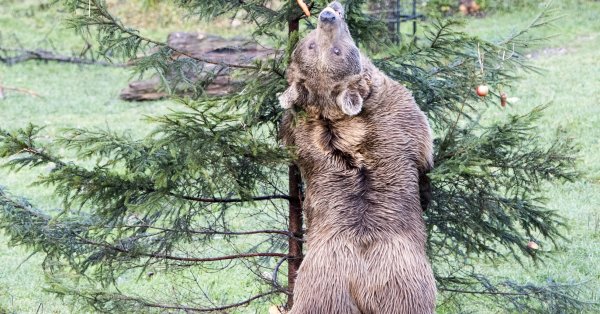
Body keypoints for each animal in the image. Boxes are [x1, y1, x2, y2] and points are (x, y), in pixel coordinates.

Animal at [278, 1, 438, 312]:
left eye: (330, 49)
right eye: (319, 46)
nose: (328, 14)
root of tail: (358, 277)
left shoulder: (299, 134)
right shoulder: (400, 114)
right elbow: (425, 148)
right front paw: (426, 186)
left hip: (321, 291)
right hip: (404, 285)